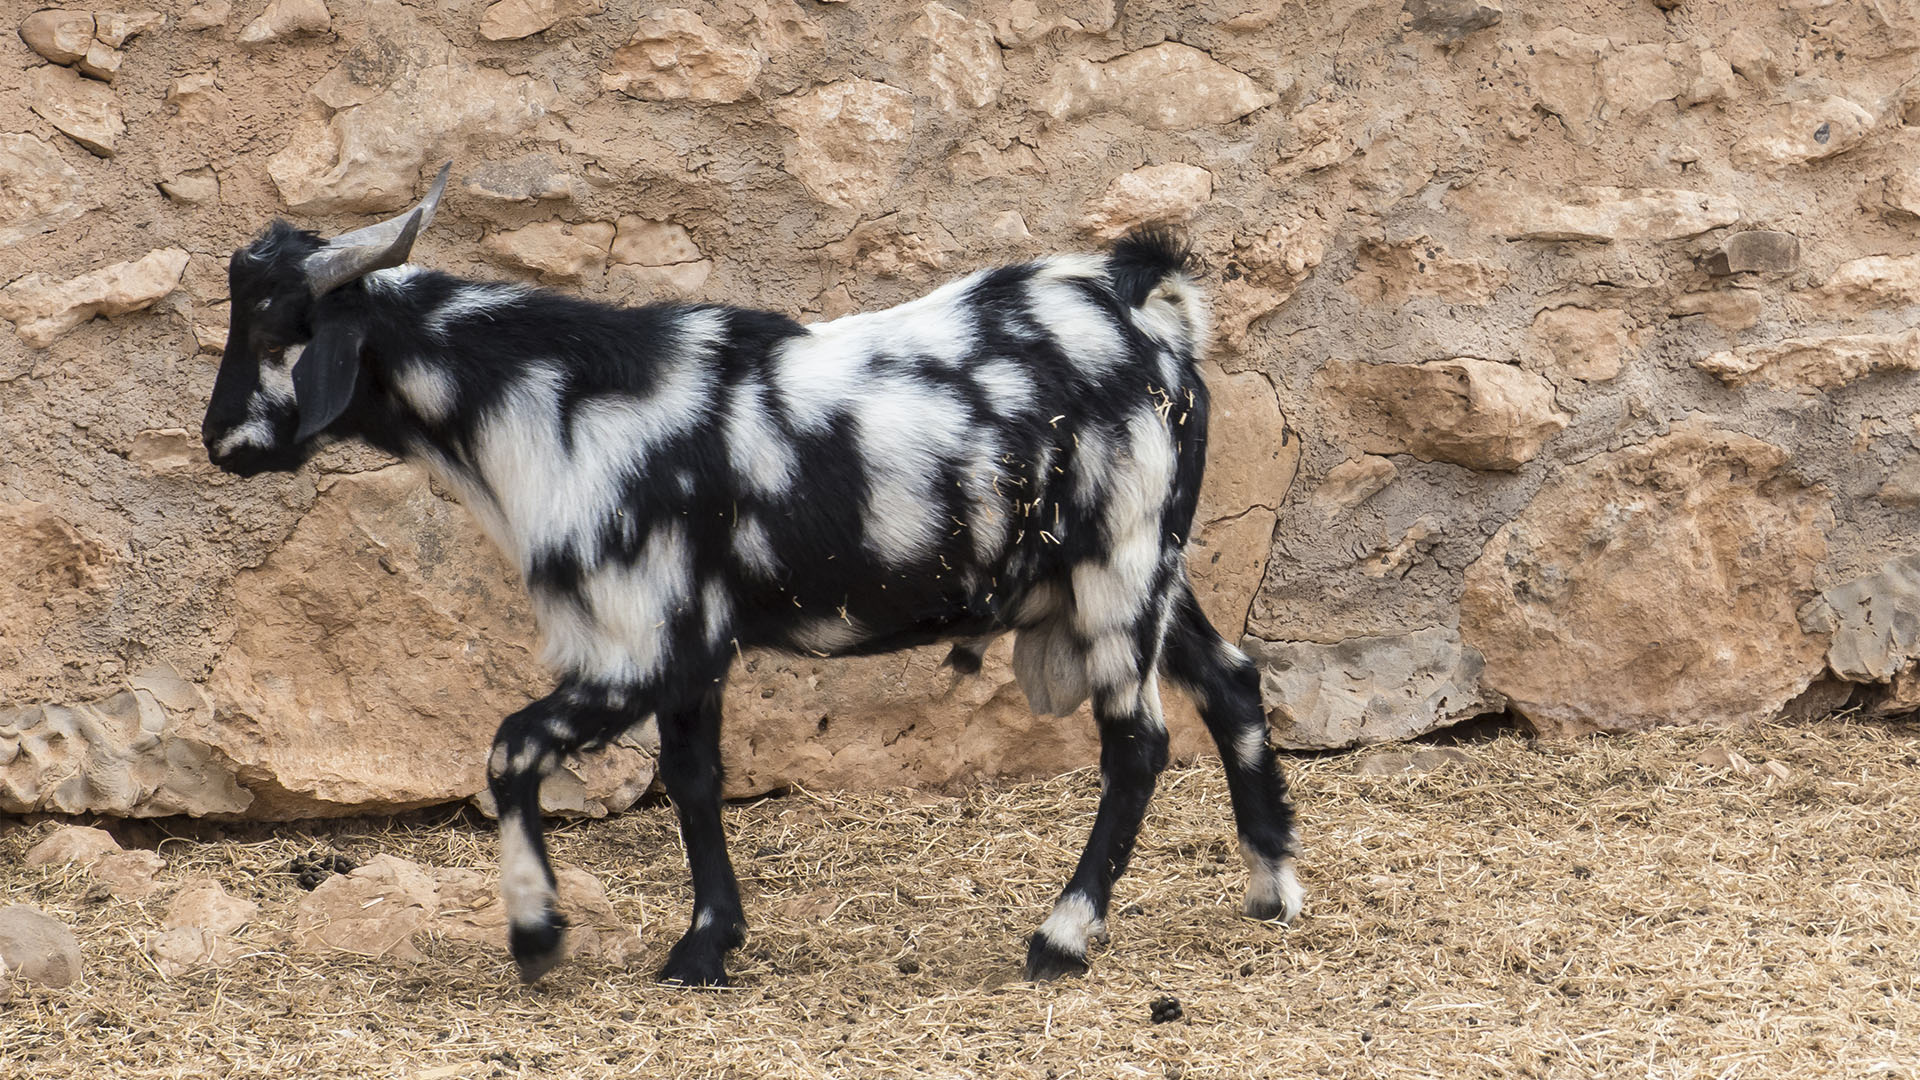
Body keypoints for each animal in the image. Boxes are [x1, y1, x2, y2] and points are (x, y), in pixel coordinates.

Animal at [198, 161, 1305, 983]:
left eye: (277, 326)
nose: (218, 442)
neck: (544, 399)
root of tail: (1151, 309)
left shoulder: (636, 641)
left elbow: (511, 749)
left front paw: (538, 932)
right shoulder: (692, 646)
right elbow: (695, 780)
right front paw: (704, 946)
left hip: (1121, 568)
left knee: (1138, 743)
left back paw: (1063, 936)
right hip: (1147, 568)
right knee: (1230, 682)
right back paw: (1272, 888)